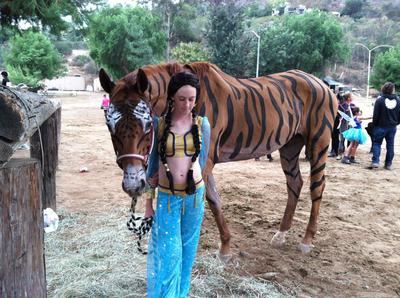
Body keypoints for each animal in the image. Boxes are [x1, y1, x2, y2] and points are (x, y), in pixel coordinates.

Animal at [98, 61, 336, 255]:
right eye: (109, 125)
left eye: (148, 125)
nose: (132, 185)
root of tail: (322, 84)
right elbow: (214, 200)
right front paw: (225, 246)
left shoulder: (203, 160)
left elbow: (205, 199)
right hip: (290, 146)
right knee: (295, 183)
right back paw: (282, 234)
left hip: (319, 143)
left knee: (317, 187)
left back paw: (307, 240)